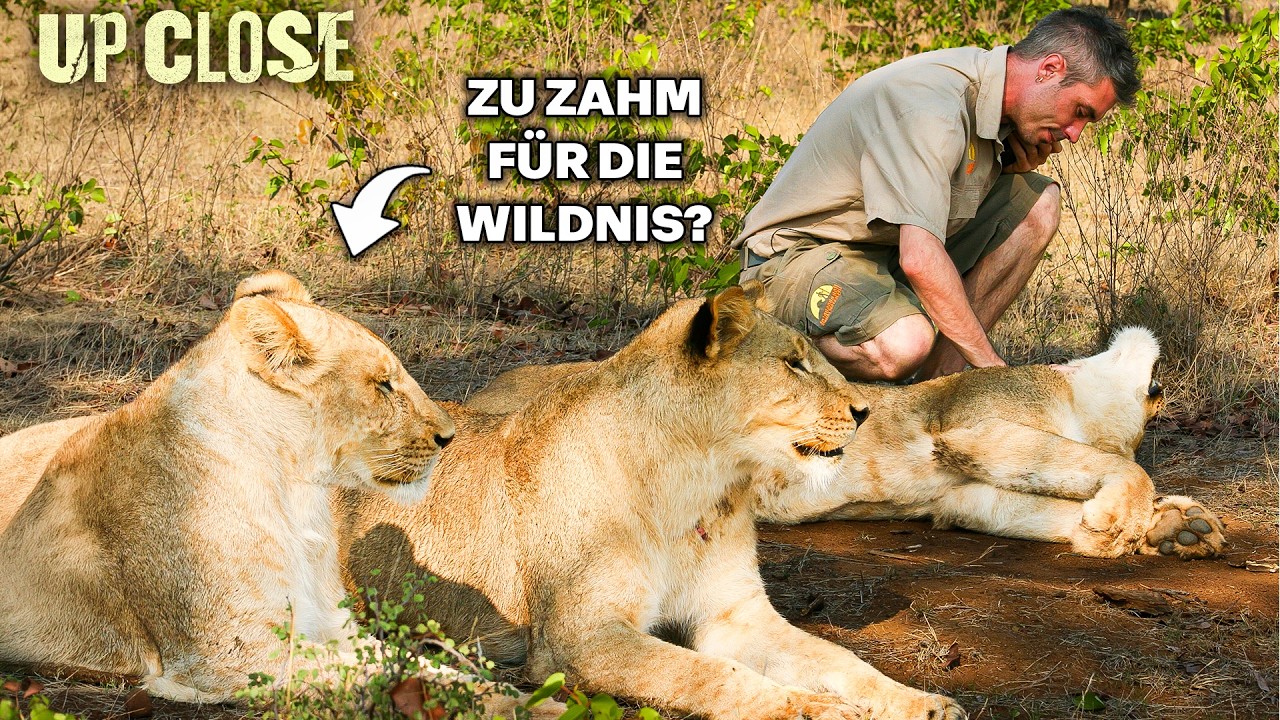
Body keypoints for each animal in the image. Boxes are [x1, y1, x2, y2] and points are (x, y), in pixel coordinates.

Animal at [0, 271, 456, 703]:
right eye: (383, 384)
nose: (448, 437)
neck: (295, 490)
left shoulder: (332, 623)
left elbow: (410, 661)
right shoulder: (233, 656)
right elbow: (390, 675)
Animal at [336, 284, 967, 720]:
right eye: (793, 363)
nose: (864, 411)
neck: (695, 481)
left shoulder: (733, 614)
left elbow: (837, 658)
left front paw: (923, 702)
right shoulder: (580, 640)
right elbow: (710, 675)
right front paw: (816, 710)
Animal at [466, 327, 1226, 560]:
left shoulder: (962, 496)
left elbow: (1054, 502)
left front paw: (1175, 528)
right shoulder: (973, 426)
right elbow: (1111, 466)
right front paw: (1124, 516)